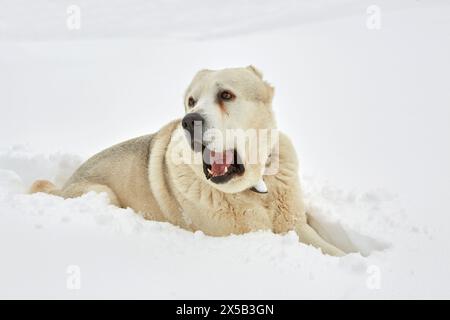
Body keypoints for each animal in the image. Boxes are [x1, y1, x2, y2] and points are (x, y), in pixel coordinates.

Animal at [30, 66, 344, 256]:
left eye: (226, 95)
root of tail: (63, 184)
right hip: (100, 192)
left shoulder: (296, 224)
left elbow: (331, 247)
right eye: (191, 101)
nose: (189, 121)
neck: (256, 189)